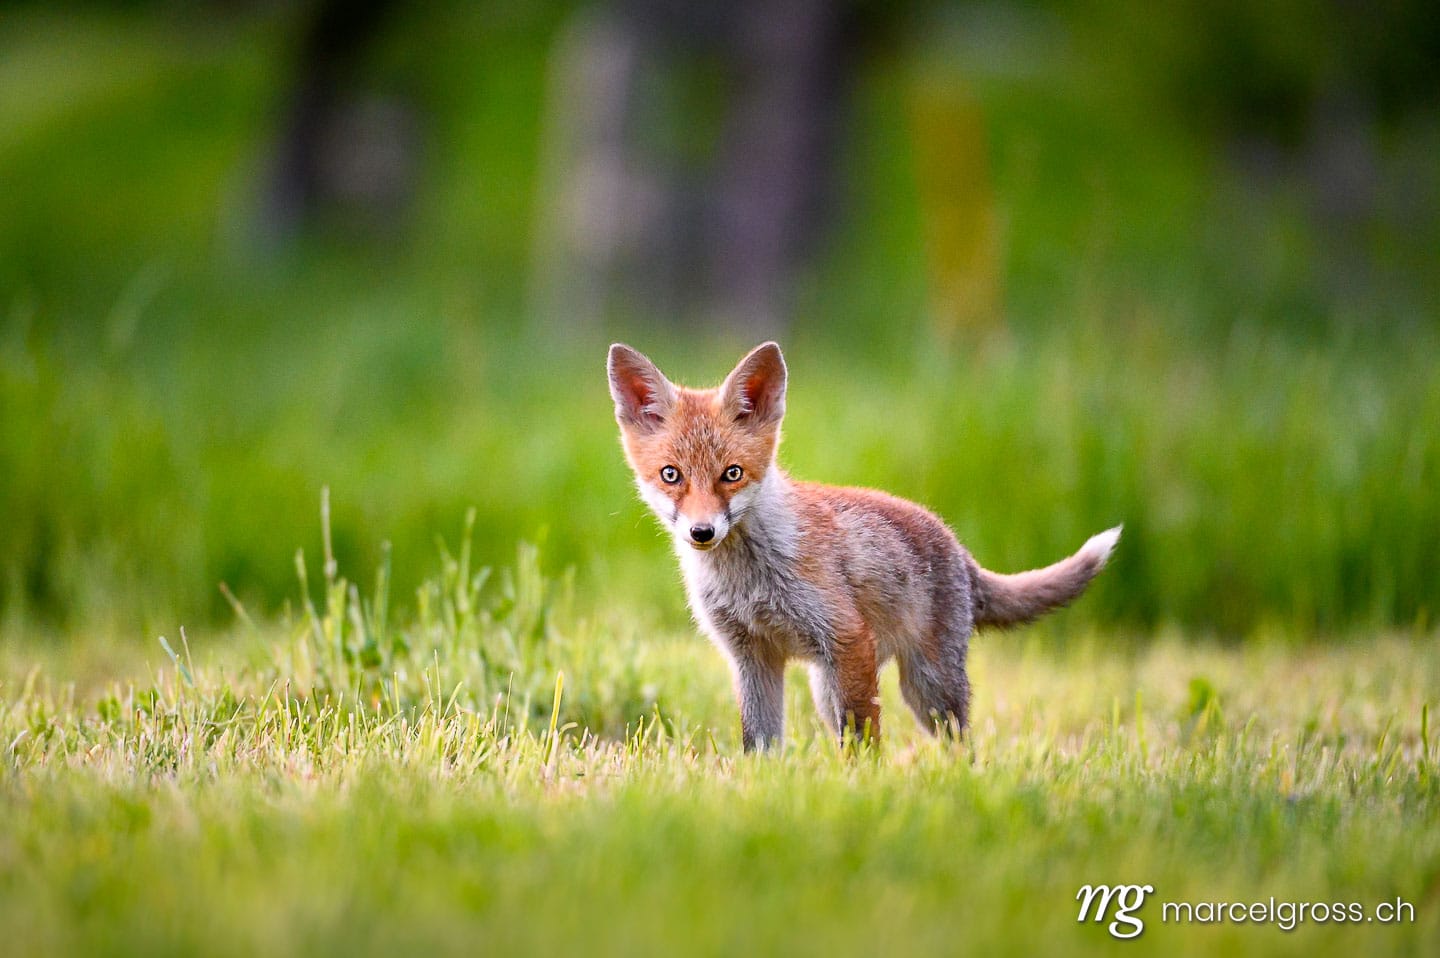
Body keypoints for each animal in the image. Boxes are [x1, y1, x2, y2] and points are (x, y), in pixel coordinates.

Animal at [607, 341, 1120, 751]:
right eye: (671, 475)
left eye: (731, 473)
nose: (702, 533)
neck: (748, 579)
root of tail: (957, 546)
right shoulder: (752, 657)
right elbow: (760, 744)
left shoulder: (847, 638)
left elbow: (862, 742)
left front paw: (860, 786)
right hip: (825, 686)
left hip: (927, 688)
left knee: (961, 745)